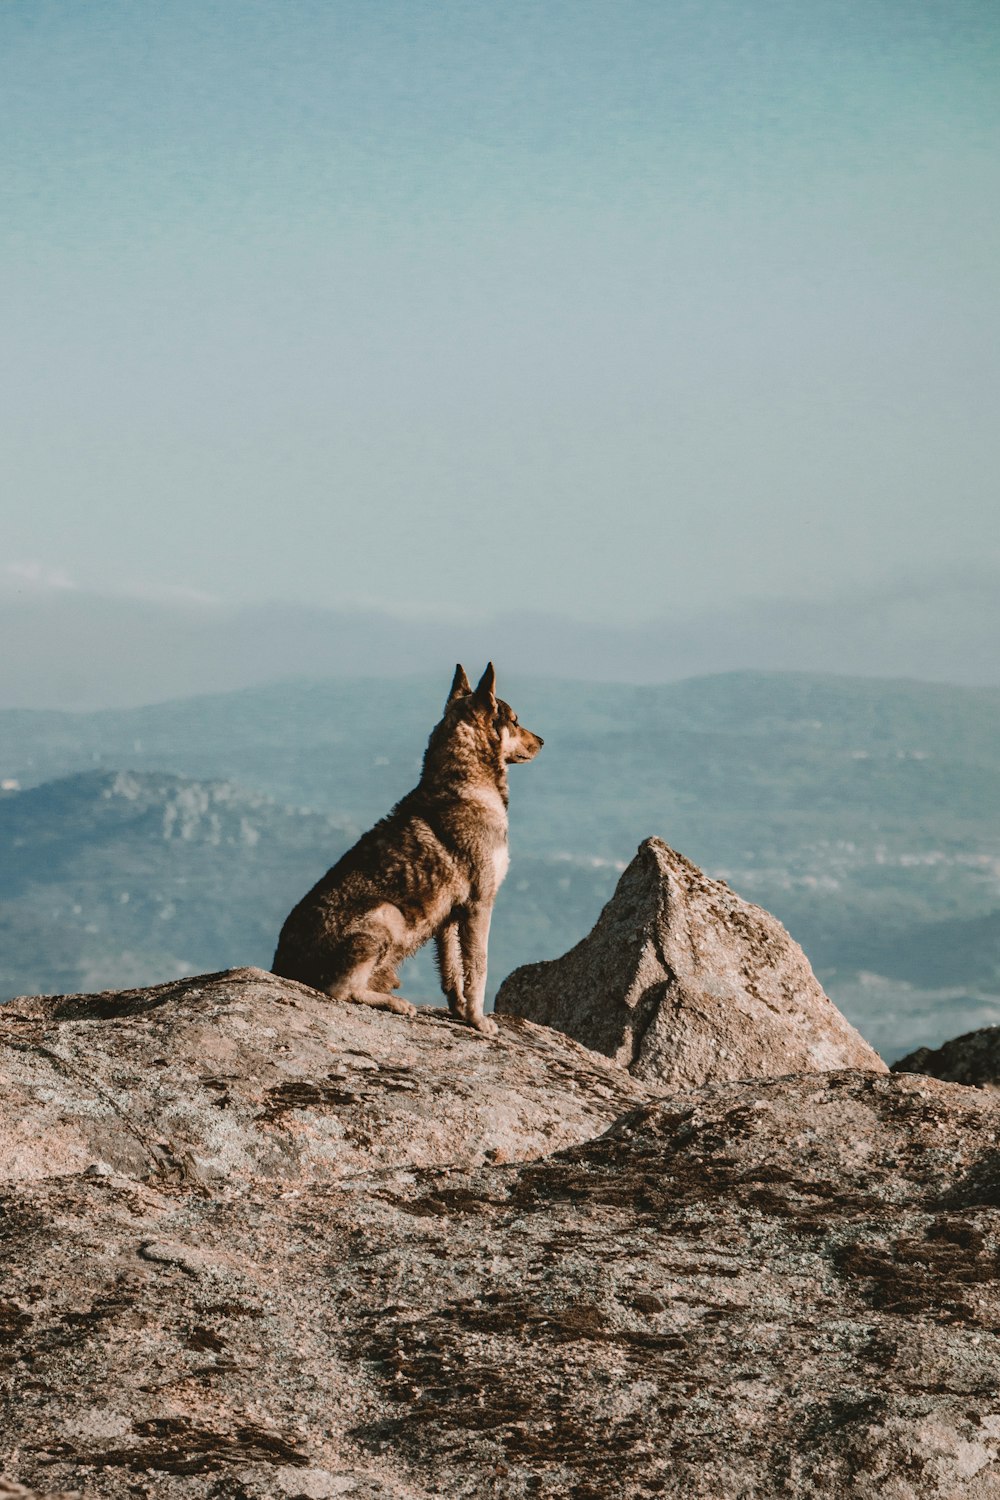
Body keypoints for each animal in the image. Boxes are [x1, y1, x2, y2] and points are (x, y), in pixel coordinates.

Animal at [269, 666, 542, 1032]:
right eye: (515, 720)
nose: (542, 741)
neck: (467, 784)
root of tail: (280, 967)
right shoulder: (479, 905)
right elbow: (479, 968)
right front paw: (478, 1019)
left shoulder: (448, 919)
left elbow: (452, 972)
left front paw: (460, 1012)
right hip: (388, 914)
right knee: (340, 989)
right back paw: (394, 1002)